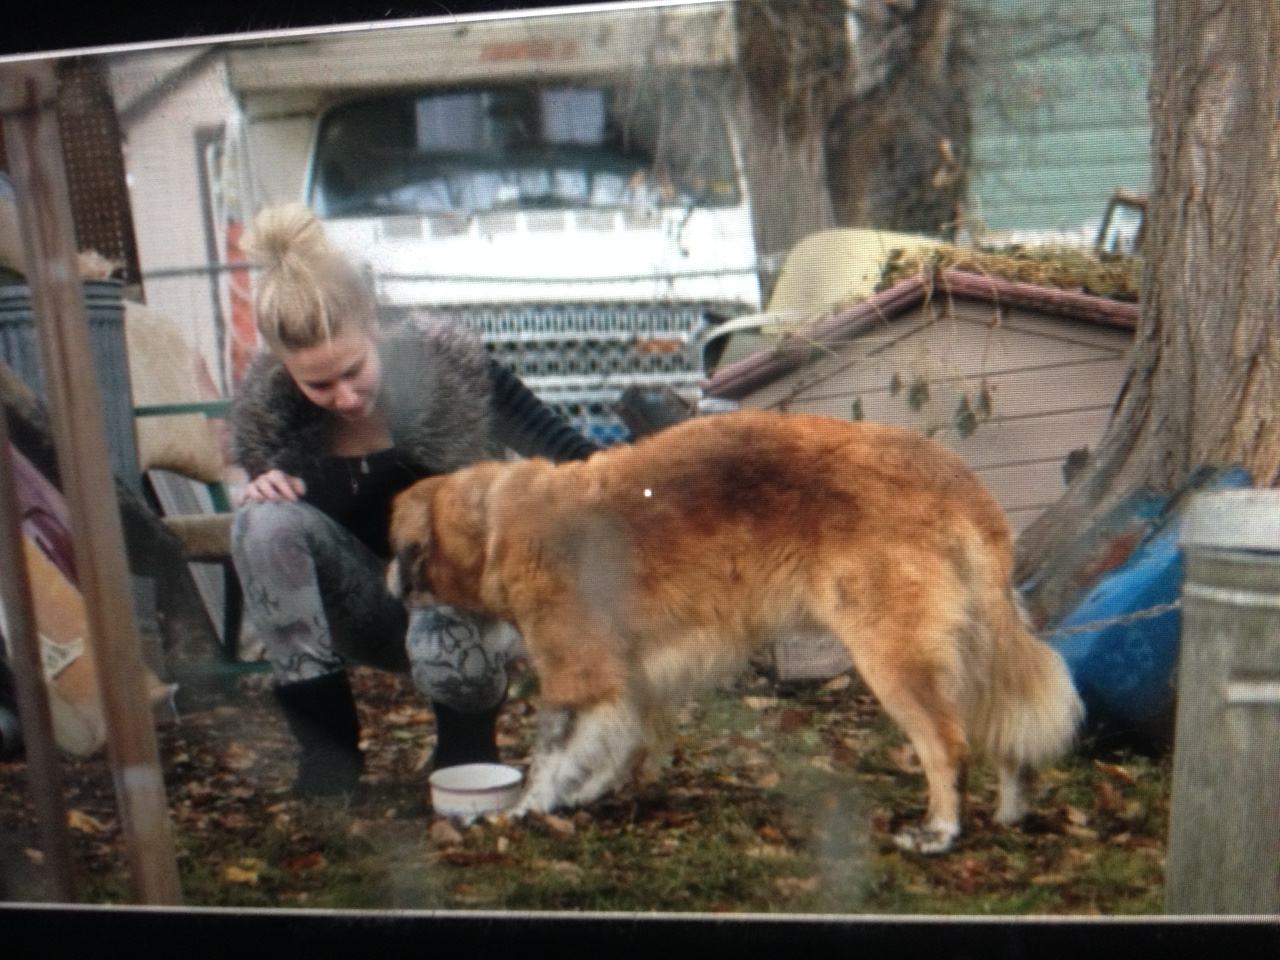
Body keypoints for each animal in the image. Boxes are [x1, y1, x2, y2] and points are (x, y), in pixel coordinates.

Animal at [386, 409, 1080, 855]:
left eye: (395, 547)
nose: (388, 580)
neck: (496, 525)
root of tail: (950, 474)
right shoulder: (631, 681)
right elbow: (620, 743)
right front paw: (592, 791)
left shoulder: (578, 678)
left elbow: (553, 754)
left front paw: (528, 810)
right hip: (975, 644)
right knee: (1006, 731)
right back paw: (1013, 807)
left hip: (894, 658)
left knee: (947, 746)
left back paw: (939, 831)